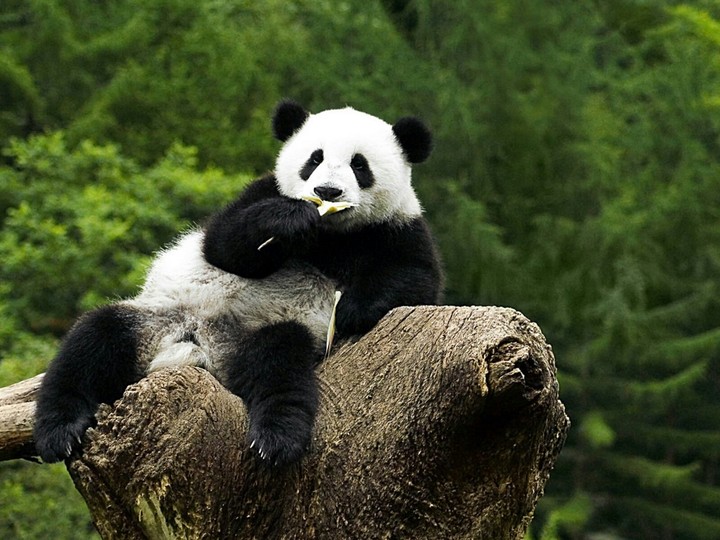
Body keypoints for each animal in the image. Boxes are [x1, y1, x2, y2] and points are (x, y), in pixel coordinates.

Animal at [33, 100, 443, 466]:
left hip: (261, 332)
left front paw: (351, 310)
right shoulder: (261, 192)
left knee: (278, 364)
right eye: (314, 159)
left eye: (359, 165)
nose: (327, 192)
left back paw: (276, 438)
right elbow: (223, 244)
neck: (330, 234)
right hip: (156, 317)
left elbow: (415, 280)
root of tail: (198, 345)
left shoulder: (397, 228)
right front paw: (289, 220)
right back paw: (60, 431)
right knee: (92, 342)